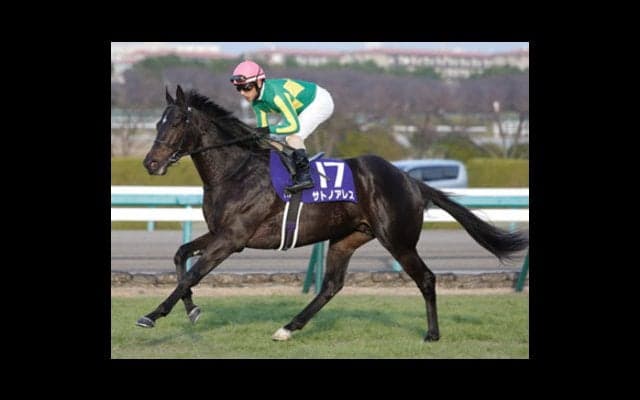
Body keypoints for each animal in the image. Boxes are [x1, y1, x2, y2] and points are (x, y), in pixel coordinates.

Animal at [138, 85, 529, 342]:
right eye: (156, 124)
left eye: (176, 123)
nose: (150, 163)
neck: (236, 170)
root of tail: (410, 180)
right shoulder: (220, 232)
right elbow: (180, 256)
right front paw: (191, 310)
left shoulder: (233, 239)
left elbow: (191, 274)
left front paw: (152, 315)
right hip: (346, 238)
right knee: (331, 286)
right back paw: (287, 328)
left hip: (398, 240)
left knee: (427, 278)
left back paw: (432, 334)